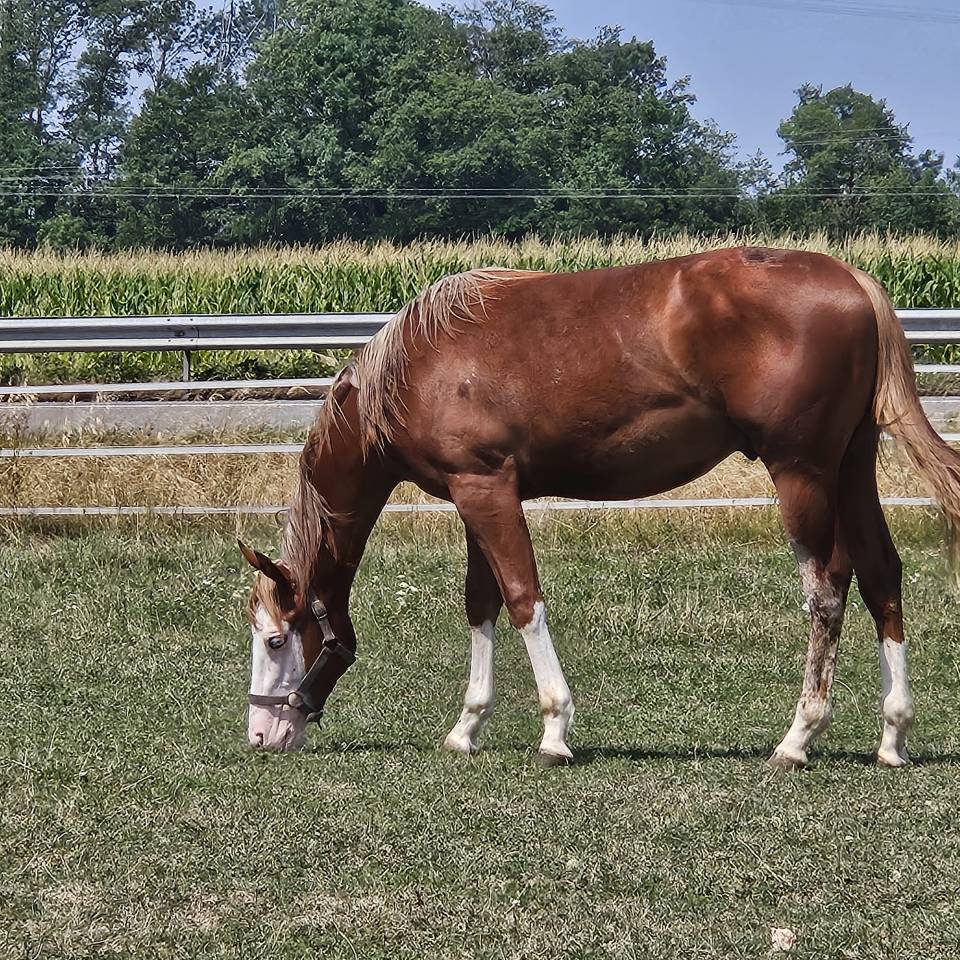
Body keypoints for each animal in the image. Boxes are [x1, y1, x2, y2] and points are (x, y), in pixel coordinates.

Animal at [240, 246, 960, 767]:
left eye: (277, 638)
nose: (259, 735)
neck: (418, 367)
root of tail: (852, 279)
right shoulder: (473, 495)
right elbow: (482, 605)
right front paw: (467, 727)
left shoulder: (487, 490)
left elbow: (523, 599)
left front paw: (555, 730)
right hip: (852, 466)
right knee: (882, 574)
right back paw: (892, 737)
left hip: (801, 472)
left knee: (828, 589)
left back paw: (798, 737)